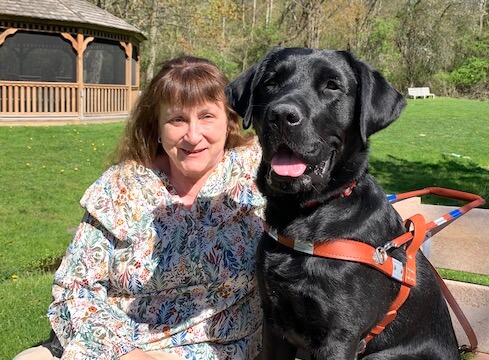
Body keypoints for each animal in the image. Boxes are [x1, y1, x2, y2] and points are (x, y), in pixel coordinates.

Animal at [225, 46, 458, 358]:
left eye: (332, 86)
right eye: (271, 82)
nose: (282, 114)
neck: (304, 216)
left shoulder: (339, 334)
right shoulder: (273, 322)